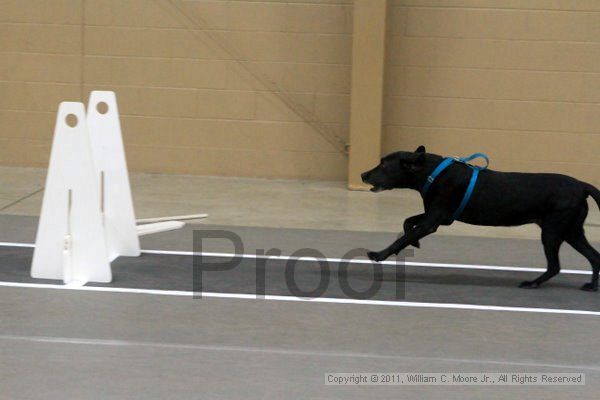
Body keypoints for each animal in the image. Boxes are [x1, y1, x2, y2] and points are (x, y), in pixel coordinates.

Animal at [360, 146, 600, 290]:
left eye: (384, 164)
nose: (363, 174)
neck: (432, 173)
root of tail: (582, 186)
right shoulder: (439, 217)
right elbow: (408, 222)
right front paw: (415, 241)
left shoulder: (433, 220)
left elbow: (401, 238)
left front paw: (378, 254)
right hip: (571, 231)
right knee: (594, 256)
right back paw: (591, 286)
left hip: (553, 231)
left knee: (555, 266)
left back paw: (532, 283)